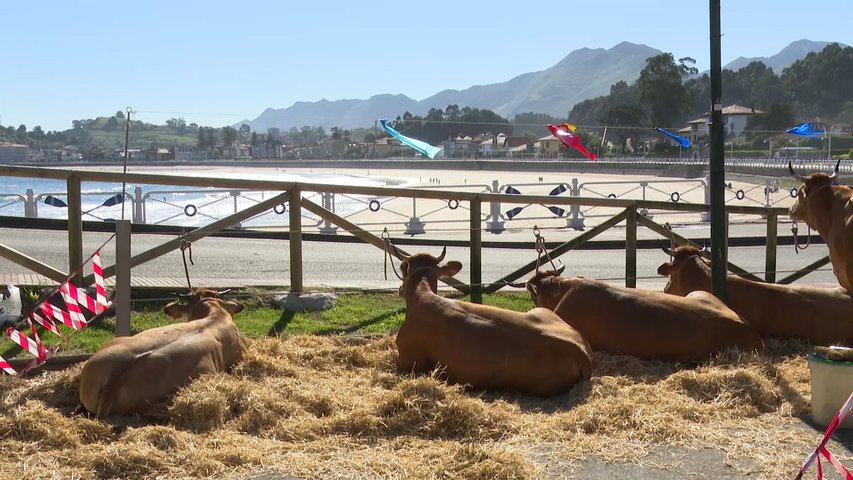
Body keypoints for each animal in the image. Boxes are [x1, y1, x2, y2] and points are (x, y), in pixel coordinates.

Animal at [394, 248, 588, 398]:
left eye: (403, 271)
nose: (400, 289)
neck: (422, 294)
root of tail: (582, 352)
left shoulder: (407, 362)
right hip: (539, 311)